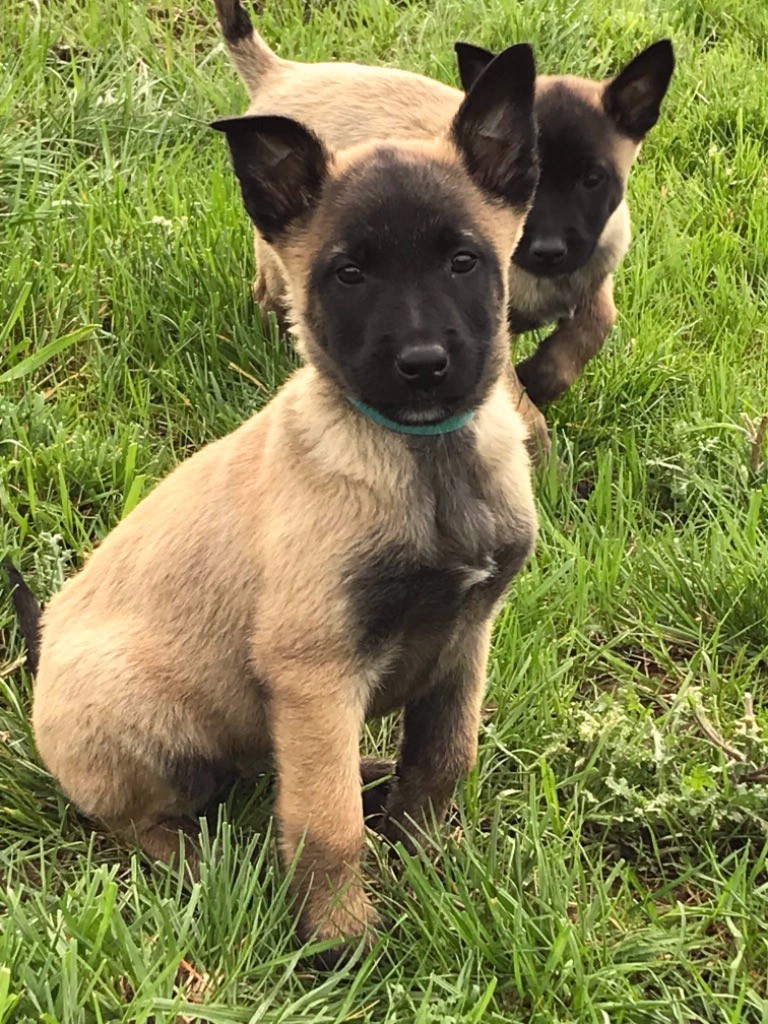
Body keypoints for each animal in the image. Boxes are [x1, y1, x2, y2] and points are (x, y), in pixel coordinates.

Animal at [24, 46, 540, 958]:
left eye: (464, 261)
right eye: (349, 273)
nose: (423, 365)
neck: (424, 462)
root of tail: (37, 660)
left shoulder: (465, 644)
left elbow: (443, 761)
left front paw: (428, 861)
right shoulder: (316, 674)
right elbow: (326, 824)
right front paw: (343, 944)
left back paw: (365, 772)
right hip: (146, 715)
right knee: (139, 819)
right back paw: (195, 866)